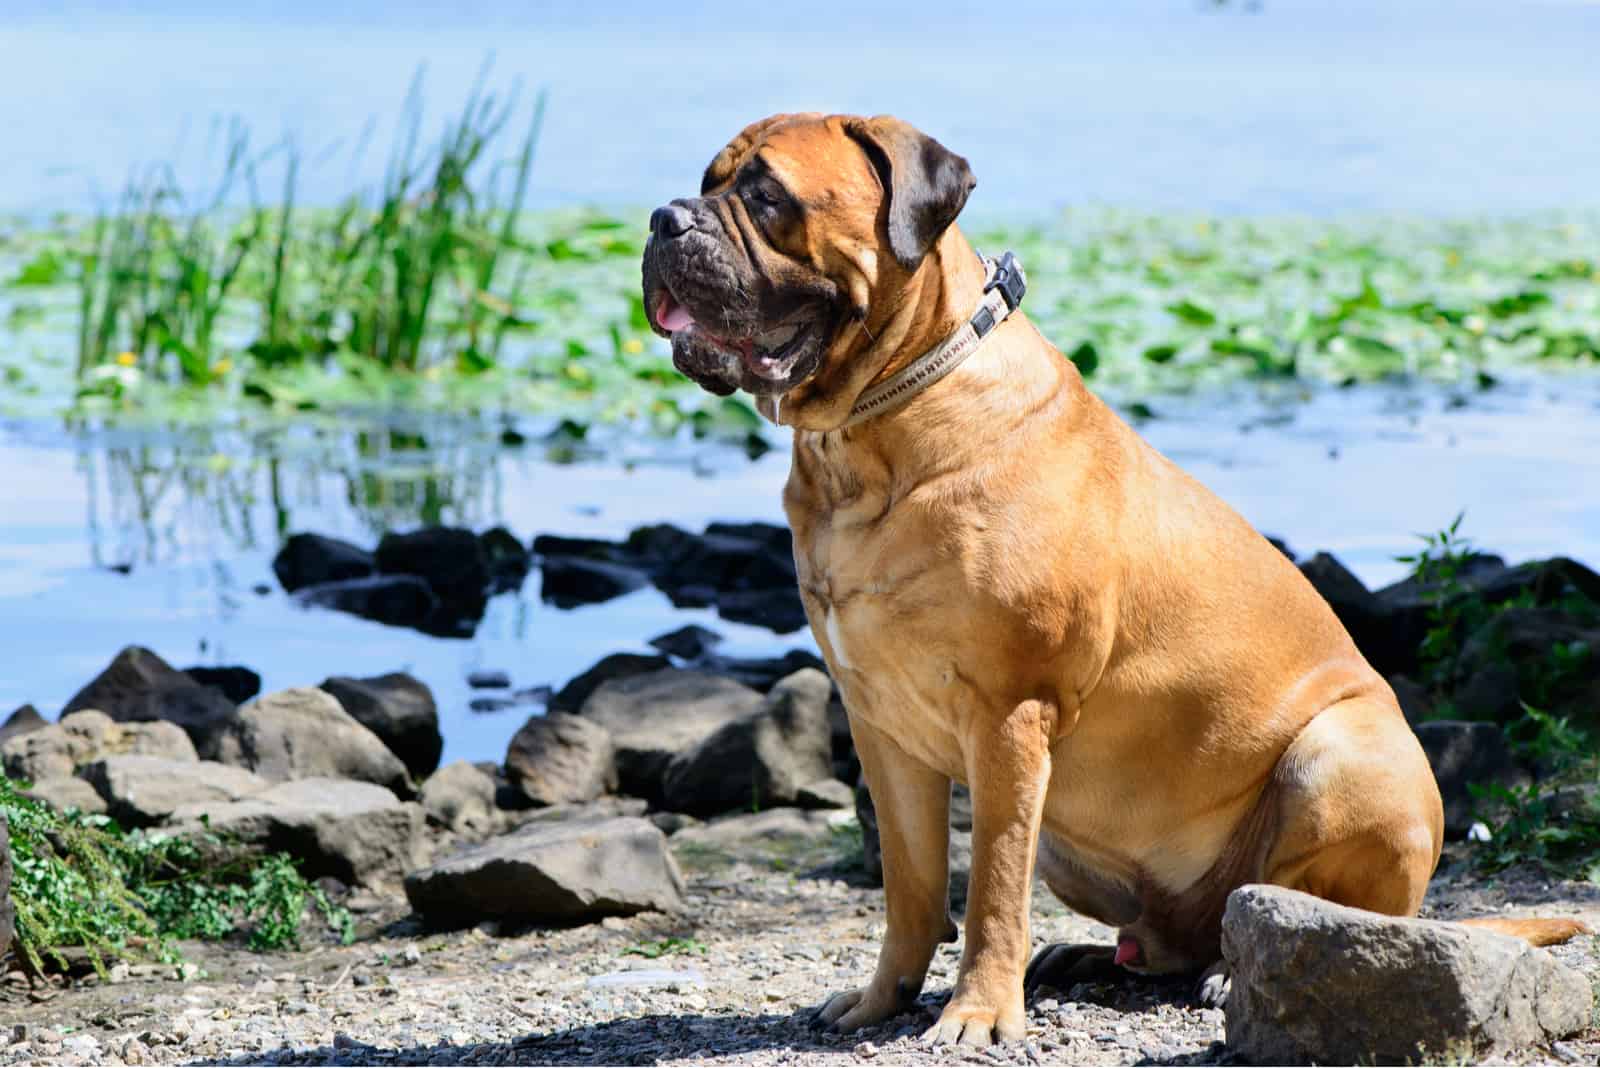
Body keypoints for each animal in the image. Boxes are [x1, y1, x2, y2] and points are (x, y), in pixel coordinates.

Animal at [640, 115, 1587, 1042]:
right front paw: (882, 999)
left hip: (1339, 758)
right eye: (708, 179)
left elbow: (991, 888)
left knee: (1294, 910)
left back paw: (1226, 969)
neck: (872, 425)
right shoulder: (883, 727)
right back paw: (1092, 956)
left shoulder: (1009, 717)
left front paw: (976, 1014)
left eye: (766, 195)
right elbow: (911, 887)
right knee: (1162, 939)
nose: (663, 217)